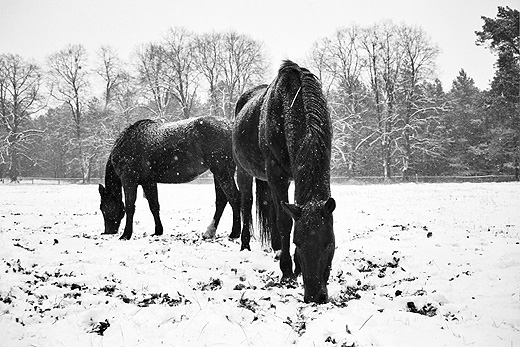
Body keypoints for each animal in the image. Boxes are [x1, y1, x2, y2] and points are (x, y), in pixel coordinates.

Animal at [98, 115, 245, 246]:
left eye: (103, 208)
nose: (108, 231)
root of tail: (230, 125)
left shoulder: (129, 180)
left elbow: (130, 207)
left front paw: (126, 235)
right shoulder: (148, 182)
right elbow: (154, 206)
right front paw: (158, 231)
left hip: (221, 171)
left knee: (234, 198)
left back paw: (234, 233)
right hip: (221, 172)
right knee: (222, 200)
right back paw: (210, 232)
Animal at [233, 60, 338, 304]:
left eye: (329, 243)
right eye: (298, 243)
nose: (315, 296)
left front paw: (291, 265)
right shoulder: (276, 173)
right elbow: (284, 222)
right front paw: (287, 272)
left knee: (269, 204)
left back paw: (276, 248)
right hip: (244, 171)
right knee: (246, 203)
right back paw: (245, 245)